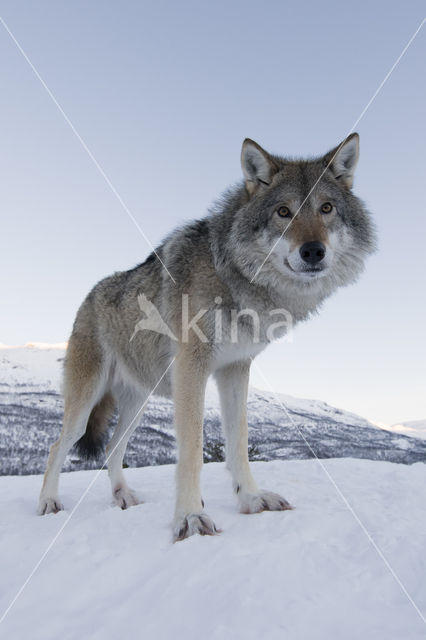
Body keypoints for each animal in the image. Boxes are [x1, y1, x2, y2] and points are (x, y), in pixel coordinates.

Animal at [37, 134, 376, 540]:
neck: (233, 274)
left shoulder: (235, 369)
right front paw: (189, 517)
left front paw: (251, 499)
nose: (313, 251)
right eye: (283, 212)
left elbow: (238, 441)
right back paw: (48, 503)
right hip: (86, 402)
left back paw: (123, 496)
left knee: (112, 449)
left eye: (326, 208)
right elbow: (192, 451)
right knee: (57, 445)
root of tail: (90, 294)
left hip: (137, 403)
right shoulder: (192, 367)